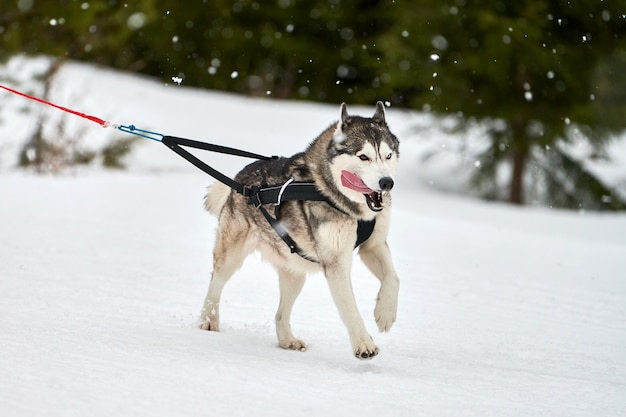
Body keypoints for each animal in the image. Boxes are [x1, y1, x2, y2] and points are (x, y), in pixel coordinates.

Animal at [200, 101, 400, 358]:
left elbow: (394, 278)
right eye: (363, 157)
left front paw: (385, 313)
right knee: (215, 284)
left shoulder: (373, 246)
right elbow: (350, 308)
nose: (387, 182)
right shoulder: (336, 262)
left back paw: (287, 340)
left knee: (280, 314)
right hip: (231, 256)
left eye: (387, 155)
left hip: (295, 272)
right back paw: (208, 321)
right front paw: (364, 344)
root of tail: (239, 179)